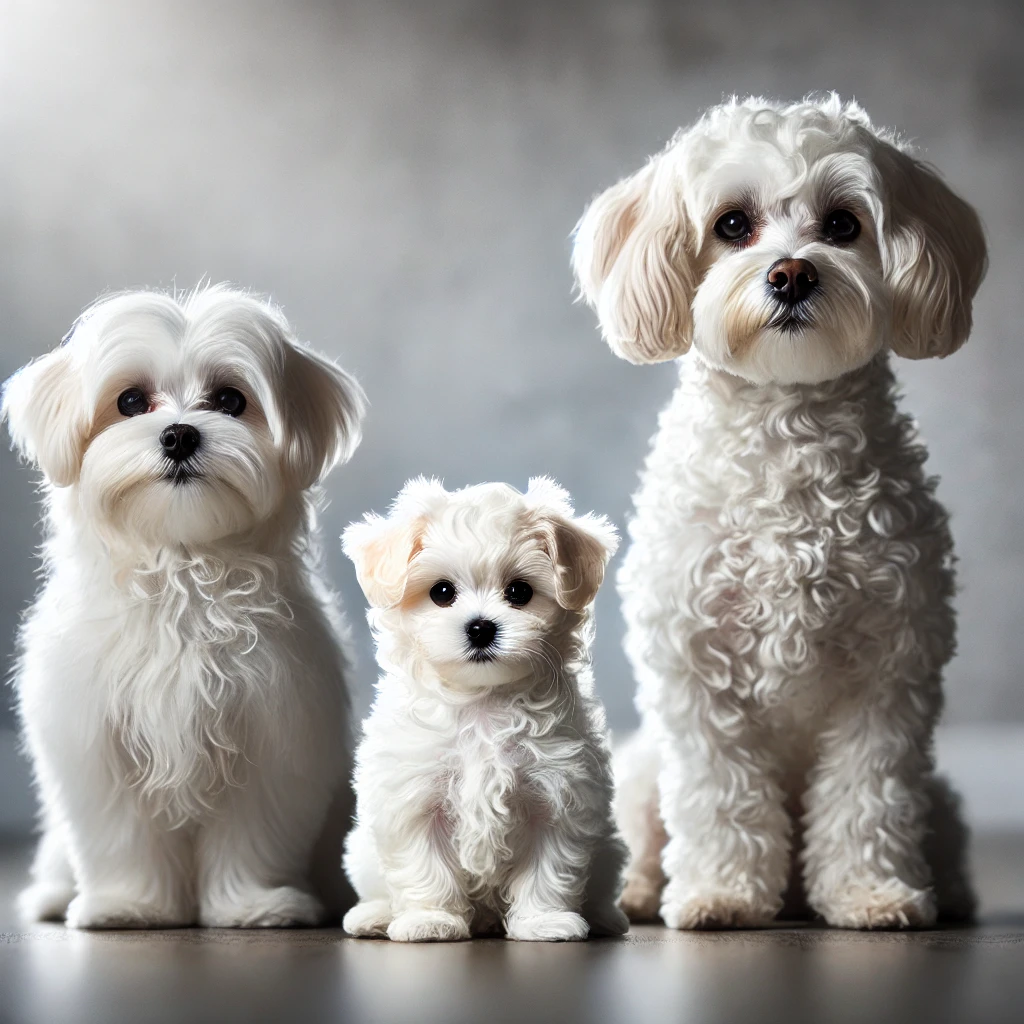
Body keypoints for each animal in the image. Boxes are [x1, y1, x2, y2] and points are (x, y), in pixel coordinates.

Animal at [2, 282, 364, 929]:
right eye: (129, 401)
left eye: (229, 399)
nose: (178, 434)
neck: (183, 571)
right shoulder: (99, 743)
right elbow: (121, 837)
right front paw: (129, 905)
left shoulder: (272, 731)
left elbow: (253, 832)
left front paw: (254, 905)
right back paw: (52, 896)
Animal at [339, 479, 626, 942]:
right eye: (441, 592)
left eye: (520, 592)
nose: (480, 627)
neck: (482, 702)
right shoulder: (415, 798)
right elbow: (424, 866)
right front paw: (430, 920)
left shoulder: (559, 795)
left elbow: (549, 868)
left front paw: (543, 921)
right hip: (361, 850)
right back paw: (375, 915)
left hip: (610, 848)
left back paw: (603, 916)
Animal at [573, 94, 987, 929]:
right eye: (733, 224)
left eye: (842, 225)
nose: (792, 273)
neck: (785, 426)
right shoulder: (700, 678)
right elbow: (720, 797)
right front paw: (722, 894)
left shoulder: (889, 675)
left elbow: (867, 797)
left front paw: (870, 891)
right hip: (642, 773)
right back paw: (639, 890)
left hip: (941, 800)